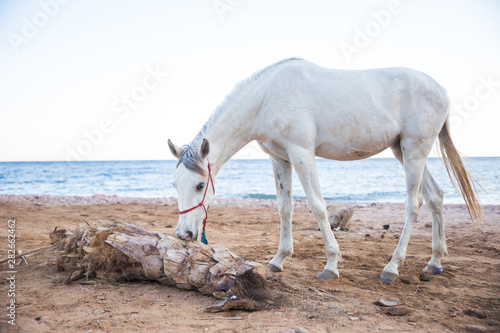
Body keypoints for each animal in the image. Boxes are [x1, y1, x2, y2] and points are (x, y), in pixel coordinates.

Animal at [168, 57, 480, 280]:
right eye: (174, 184)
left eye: (200, 185)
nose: (184, 235)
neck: (267, 98)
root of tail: (441, 90)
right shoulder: (279, 159)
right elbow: (284, 207)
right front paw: (278, 260)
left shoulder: (302, 154)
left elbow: (317, 206)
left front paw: (331, 264)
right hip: (403, 151)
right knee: (436, 196)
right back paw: (434, 262)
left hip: (415, 151)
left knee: (413, 204)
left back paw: (392, 267)